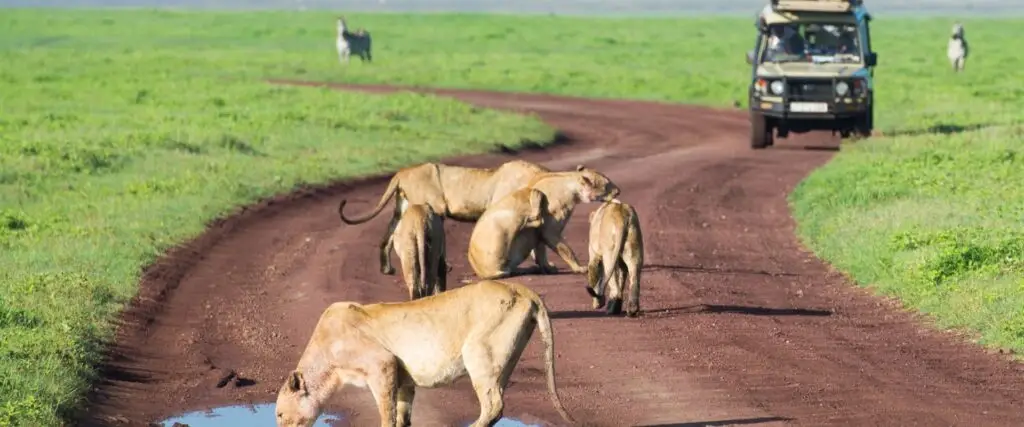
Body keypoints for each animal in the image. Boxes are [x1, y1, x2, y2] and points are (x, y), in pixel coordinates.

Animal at [272, 278, 577, 425]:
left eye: (279, 415)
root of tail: (522, 288)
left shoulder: (381, 365)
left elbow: (387, 415)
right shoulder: (403, 378)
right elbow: (402, 416)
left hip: (479, 352)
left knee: (493, 406)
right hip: (505, 359)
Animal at [335, 157, 548, 274]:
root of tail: (401, 172)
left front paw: (545, 265)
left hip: (402, 207)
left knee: (388, 236)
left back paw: (387, 269)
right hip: (433, 206)